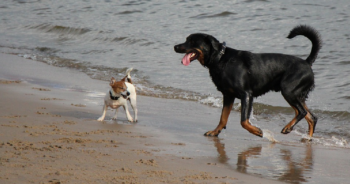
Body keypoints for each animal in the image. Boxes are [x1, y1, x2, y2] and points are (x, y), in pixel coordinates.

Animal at [174, 25, 322, 138]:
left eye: (191, 41)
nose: (175, 46)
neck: (220, 59)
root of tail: (307, 62)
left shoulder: (246, 94)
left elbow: (243, 120)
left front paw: (256, 131)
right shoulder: (228, 95)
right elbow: (223, 117)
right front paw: (215, 132)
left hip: (289, 91)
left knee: (302, 112)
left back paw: (288, 128)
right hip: (296, 94)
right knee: (311, 117)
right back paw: (307, 139)